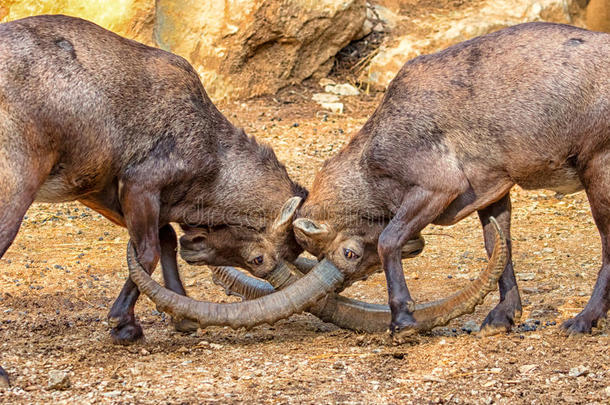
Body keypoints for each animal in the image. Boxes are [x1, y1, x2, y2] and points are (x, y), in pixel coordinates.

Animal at [292, 21, 604, 338]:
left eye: (349, 253)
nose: (341, 287)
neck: (371, 159)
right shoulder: (492, 189)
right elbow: (497, 245)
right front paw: (501, 317)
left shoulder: (437, 188)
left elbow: (387, 239)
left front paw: (402, 322)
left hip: (598, 168)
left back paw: (583, 320)